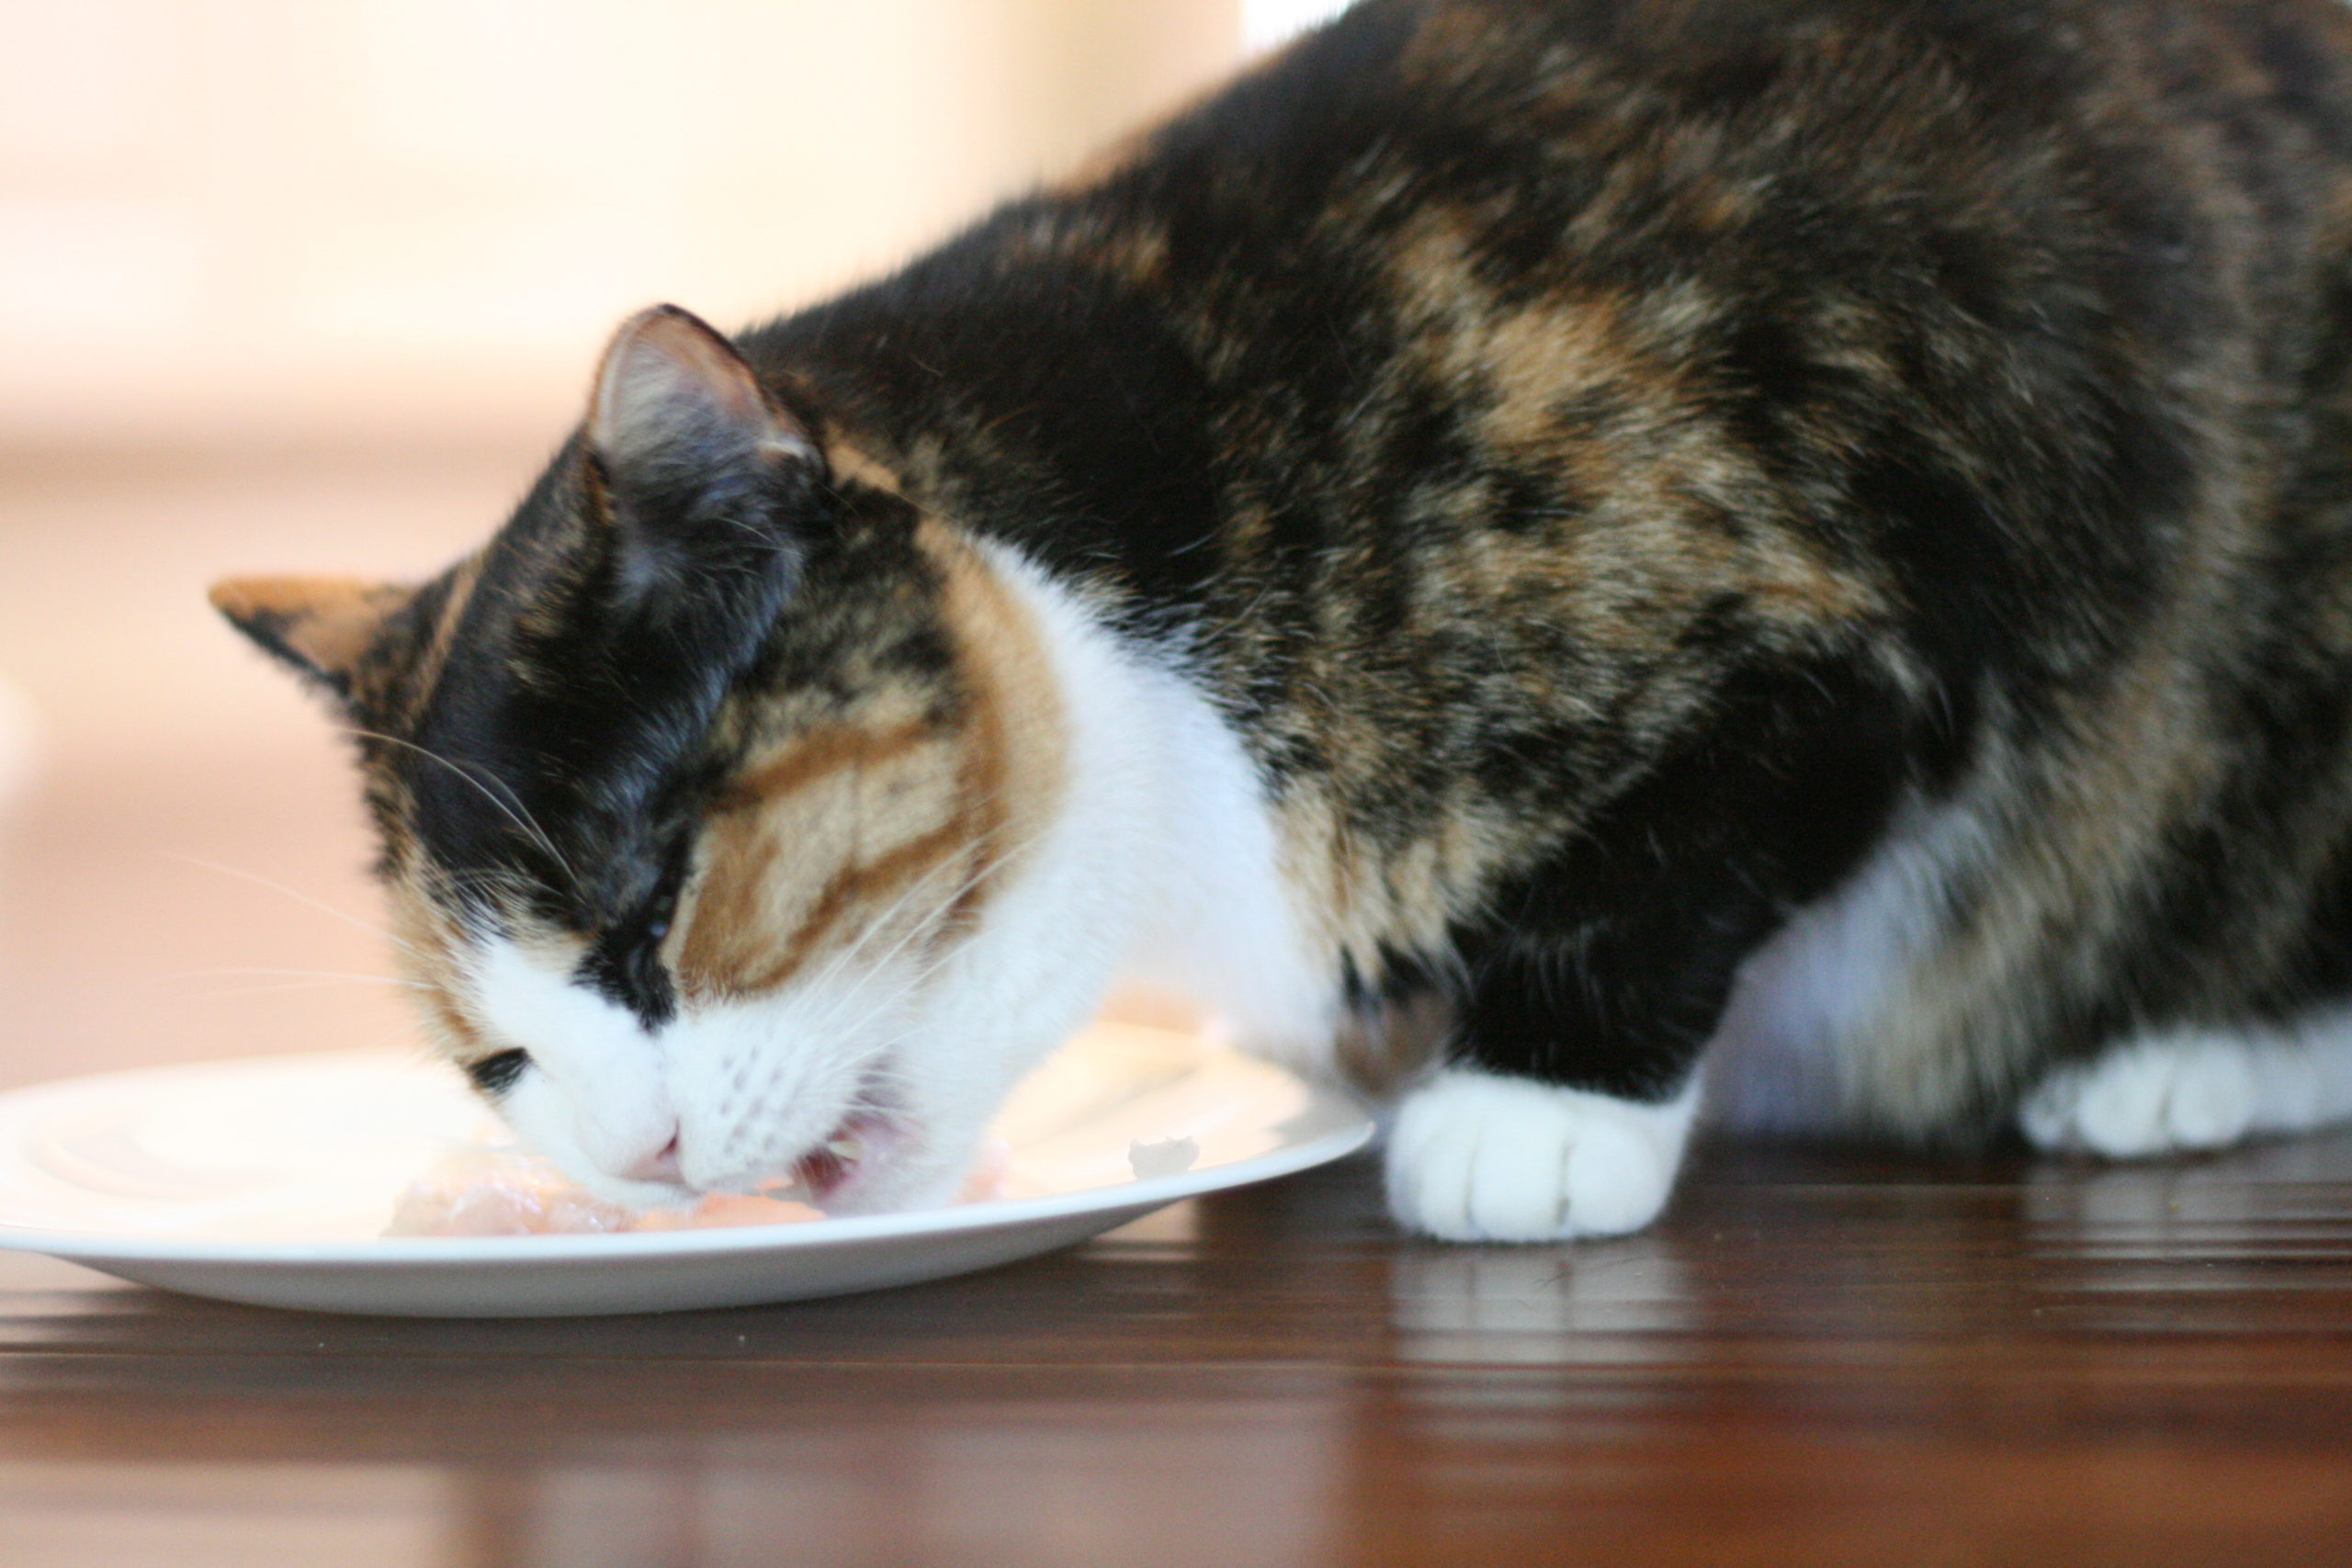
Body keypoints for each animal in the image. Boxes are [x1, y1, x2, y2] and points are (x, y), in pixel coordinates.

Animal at [216, 0, 2352, 1241]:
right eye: (496, 1059)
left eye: (651, 913)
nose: (639, 1162)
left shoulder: (1840, 587)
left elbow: (1669, 859)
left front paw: (1525, 1115)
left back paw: (2169, 1067)